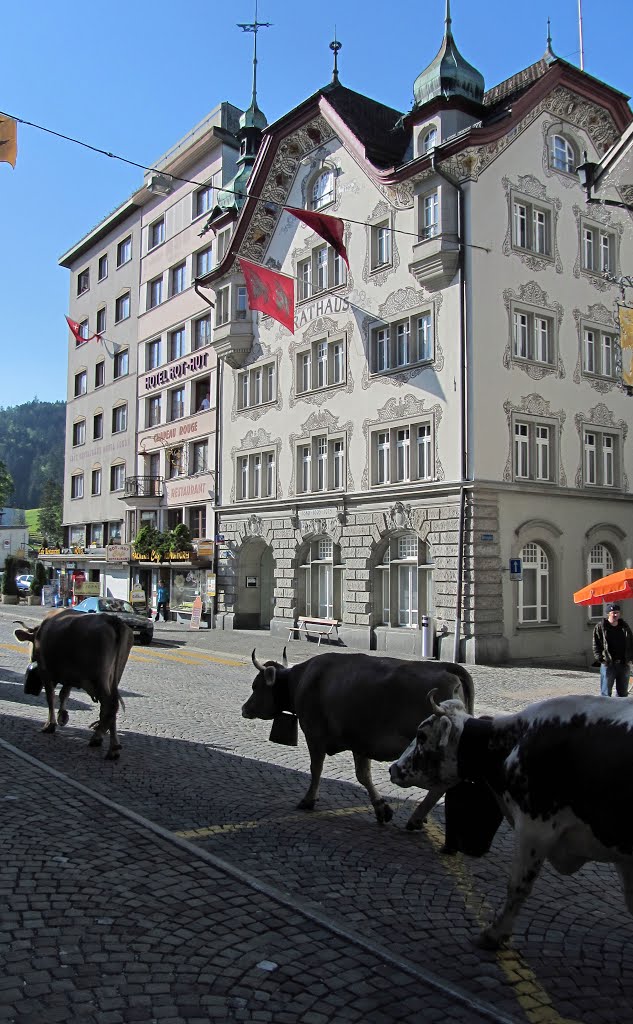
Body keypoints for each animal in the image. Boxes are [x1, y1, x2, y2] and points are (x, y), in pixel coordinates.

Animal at [15, 606, 133, 761]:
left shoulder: (46, 672)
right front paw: (62, 716)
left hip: (99, 679)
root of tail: (112, 620)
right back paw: (109, 744)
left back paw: (105, 744)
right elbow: (64, 693)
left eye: (30, 644)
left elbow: (50, 697)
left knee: (110, 705)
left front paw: (50, 725)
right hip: (113, 677)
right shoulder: (69, 675)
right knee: (109, 708)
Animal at [241, 651, 473, 827]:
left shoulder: (314, 735)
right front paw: (381, 809)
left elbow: (316, 768)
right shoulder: (361, 742)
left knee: (441, 784)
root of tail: (447, 667)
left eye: (255, 686)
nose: (244, 708)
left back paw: (416, 817)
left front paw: (308, 800)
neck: (301, 681)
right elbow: (363, 775)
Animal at [387, 692, 630, 946]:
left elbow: (518, 885)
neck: (514, 743)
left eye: (421, 735)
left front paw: (494, 933)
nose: (393, 768)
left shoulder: (535, 828)